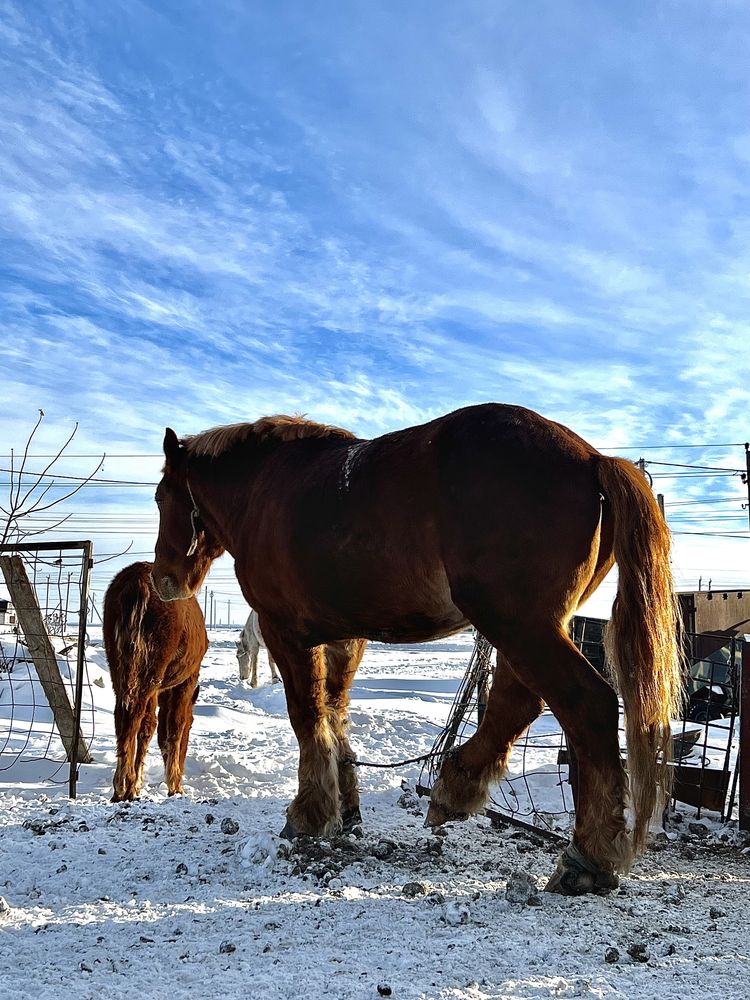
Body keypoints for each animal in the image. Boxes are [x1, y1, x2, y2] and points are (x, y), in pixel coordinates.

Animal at [103, 560, 209, 800]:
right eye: (192, 724)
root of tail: (136, 581)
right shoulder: (184, 683)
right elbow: (174, 727)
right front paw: (174, 784)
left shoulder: (157, 691)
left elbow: (149, 727)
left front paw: (138, 783)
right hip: (148, 673)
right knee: (132, 716)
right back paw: (124, 784)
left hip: (121, 671)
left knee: (122, 717)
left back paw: (121, 786)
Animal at [150, 402, 684, 896]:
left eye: (159, 497)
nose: (164, 579)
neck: (268, 489)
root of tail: (592, 458)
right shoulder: (345, 638)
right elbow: (334, 713)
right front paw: (345, 808)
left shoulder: (287, 634)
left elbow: (307, 716)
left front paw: (308, 814)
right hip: (528, 626)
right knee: (517, 702)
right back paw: (457, 787)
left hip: (517, 623)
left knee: (586, 705)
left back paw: (587, 857)